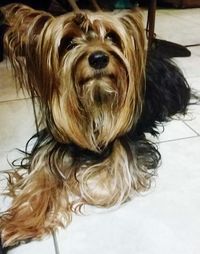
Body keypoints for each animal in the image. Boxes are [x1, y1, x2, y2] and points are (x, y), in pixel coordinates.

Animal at [0, 2, 191, 247]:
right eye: (68, 43)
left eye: (111, 37)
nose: (99, 58)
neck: (95, 104)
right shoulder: (50, 146)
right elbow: (39, 179)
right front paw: (18, 224)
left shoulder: (125, 145)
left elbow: (110, 183)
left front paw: (72, 183)